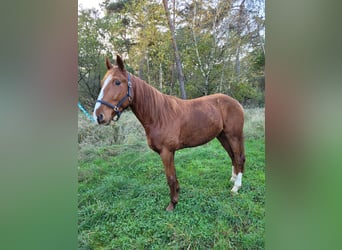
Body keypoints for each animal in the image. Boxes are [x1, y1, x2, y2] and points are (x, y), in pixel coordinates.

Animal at [92, 55, 244, 211]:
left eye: (117, 82)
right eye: (102, 82)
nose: (98, 116)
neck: (159, 115)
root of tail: (236, 102)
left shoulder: (166, 152)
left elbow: (170, 178)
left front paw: (172, 203)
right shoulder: (171, 152)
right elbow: (174, 176)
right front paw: (177, 192)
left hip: (234, 136)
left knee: (239, 158)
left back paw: (236, 187)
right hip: (222, 136)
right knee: (232, 156)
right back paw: (232, 179)